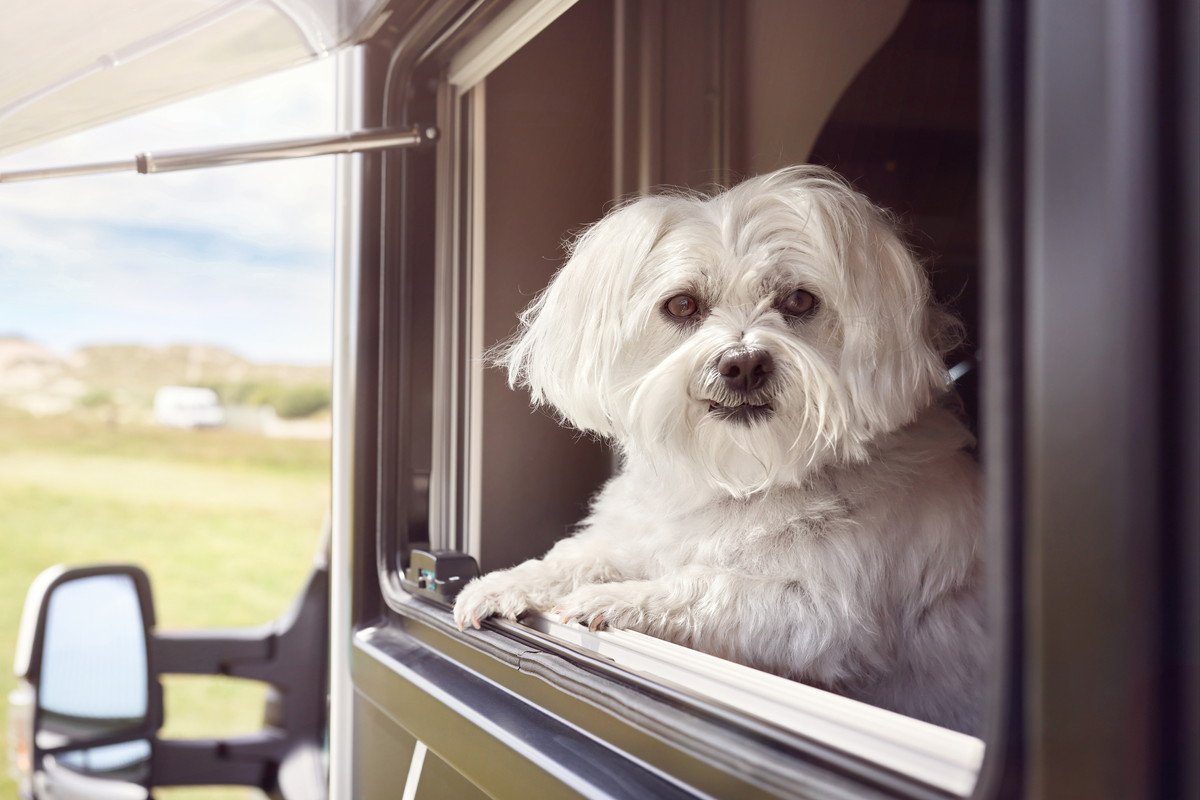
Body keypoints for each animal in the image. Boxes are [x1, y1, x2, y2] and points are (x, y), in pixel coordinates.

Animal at [451, 165, 984, 734]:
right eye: (682, 304)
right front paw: (501, 583)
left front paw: (617, 598)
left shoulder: (825, 616)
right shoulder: (643, 535)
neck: (745, 476)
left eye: (799, 301)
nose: (744, 363)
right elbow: (579, 556)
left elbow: (711, 585)